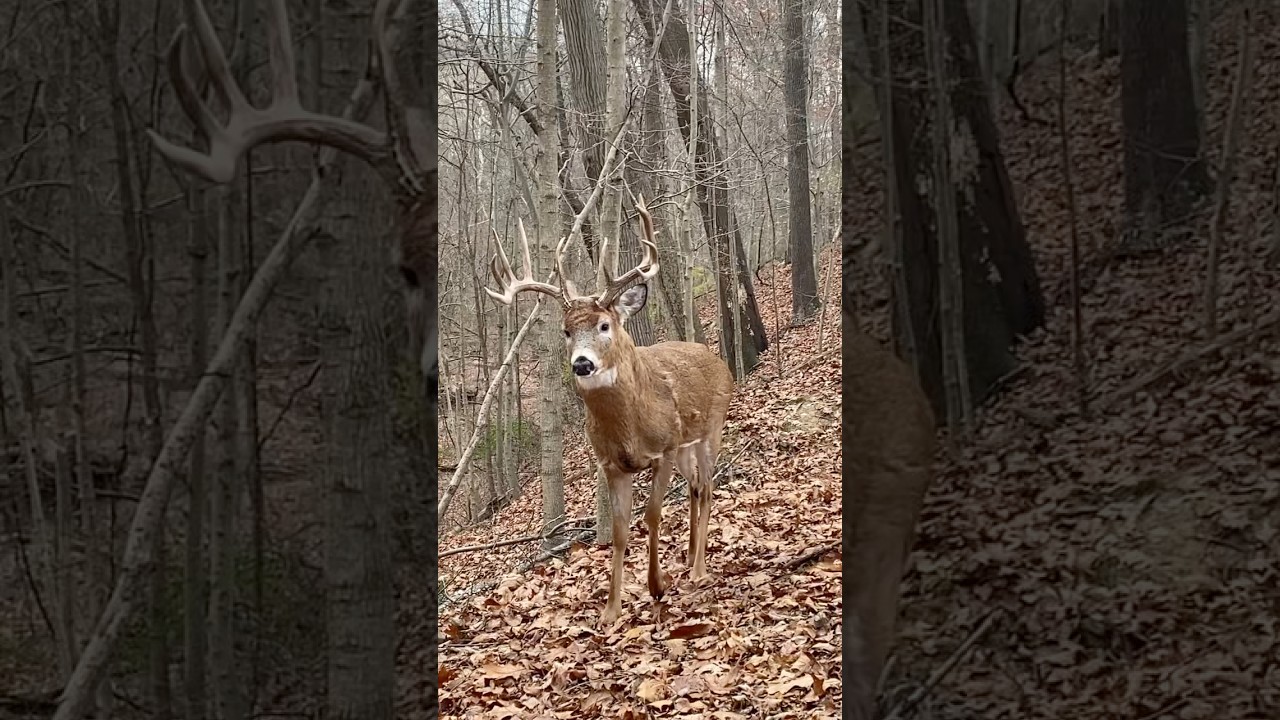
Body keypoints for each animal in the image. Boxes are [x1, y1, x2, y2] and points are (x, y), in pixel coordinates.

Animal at [484, 197, 735, 626]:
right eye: (566, 331)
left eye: (604, 324)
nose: (582, 363)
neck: (629, 428)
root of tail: (719, 360)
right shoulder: (612, 465)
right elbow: (618, 531)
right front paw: (611, 609)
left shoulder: (664, 449)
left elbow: (651, 514)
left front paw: (656, 586)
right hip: (688, 445)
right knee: (695, 487)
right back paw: (688, 557)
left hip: (710, 429)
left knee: (708, 487)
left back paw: (699, 568)